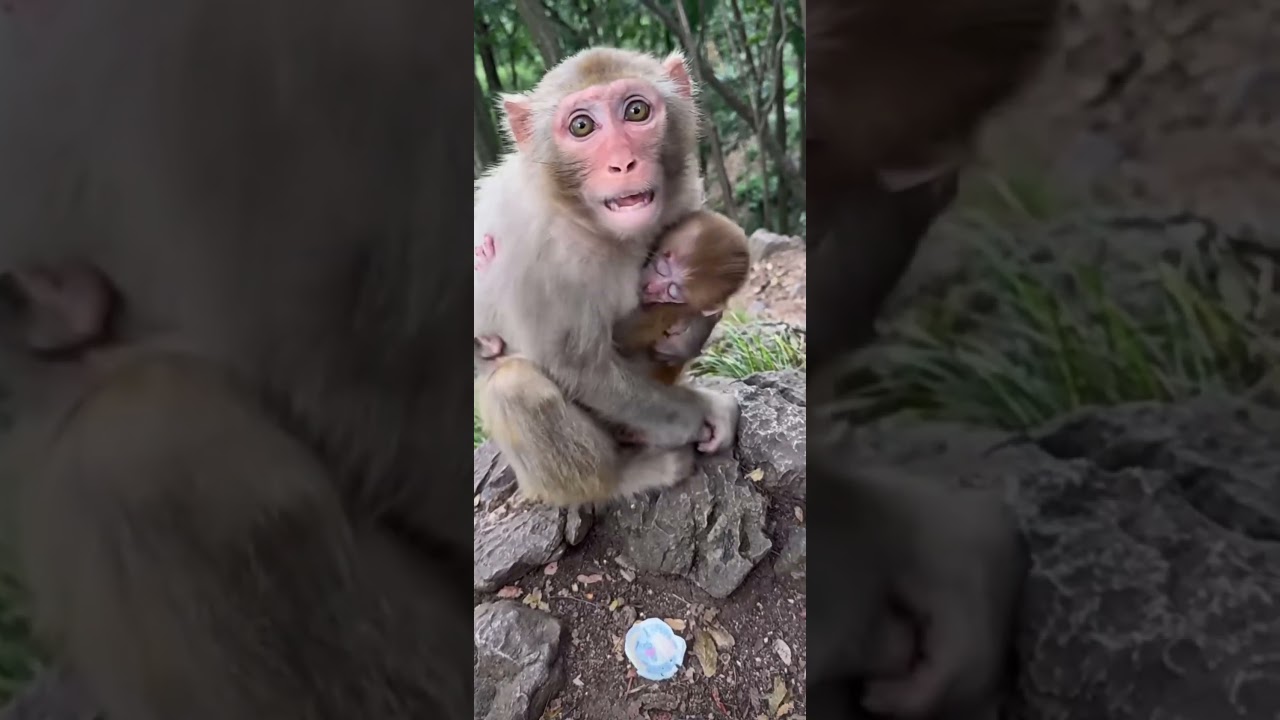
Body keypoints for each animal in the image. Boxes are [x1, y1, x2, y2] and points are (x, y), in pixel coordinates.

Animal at [472, 47, 741, 509]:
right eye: (582, 126)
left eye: (636, 111)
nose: (623, 163)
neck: (586, 224)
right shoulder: (534, 252)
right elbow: (579, 366)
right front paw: (697, 414)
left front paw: (689, 337)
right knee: (514, 384)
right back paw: (625, 475)